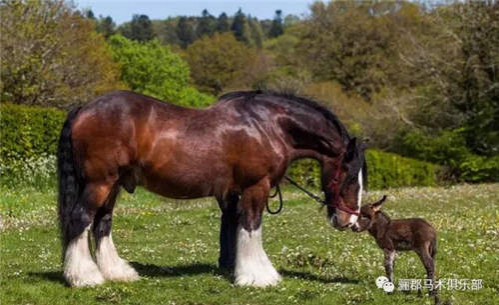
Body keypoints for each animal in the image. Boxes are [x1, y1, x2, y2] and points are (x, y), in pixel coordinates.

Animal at [57, 89, 368, 286]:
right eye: (351, 176)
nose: (349, 220)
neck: (269, 125)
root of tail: (84, 109)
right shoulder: (255, 186)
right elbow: (251, 226)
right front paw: (258, 276)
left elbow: (235, 227)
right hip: (100, 182)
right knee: (81, 219)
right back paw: (85, 277)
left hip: (113, 185)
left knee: (102, 223)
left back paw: (116, 273)